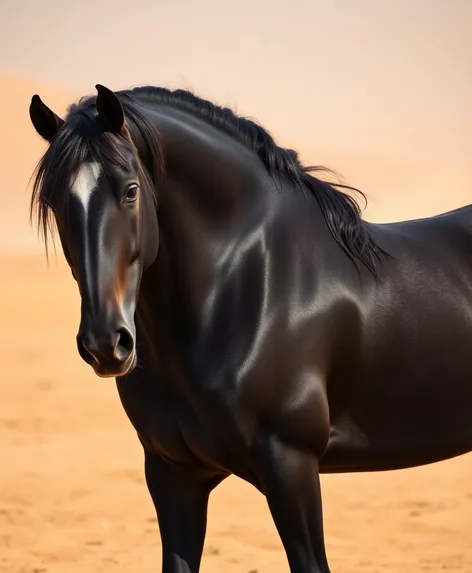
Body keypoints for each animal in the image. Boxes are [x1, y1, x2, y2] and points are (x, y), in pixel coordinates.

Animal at [28, 86, 472, 572]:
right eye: (52, 201)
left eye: (130, 191)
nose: (105, 343)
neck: (248, 288)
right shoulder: (172, 474)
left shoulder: (291, 466)